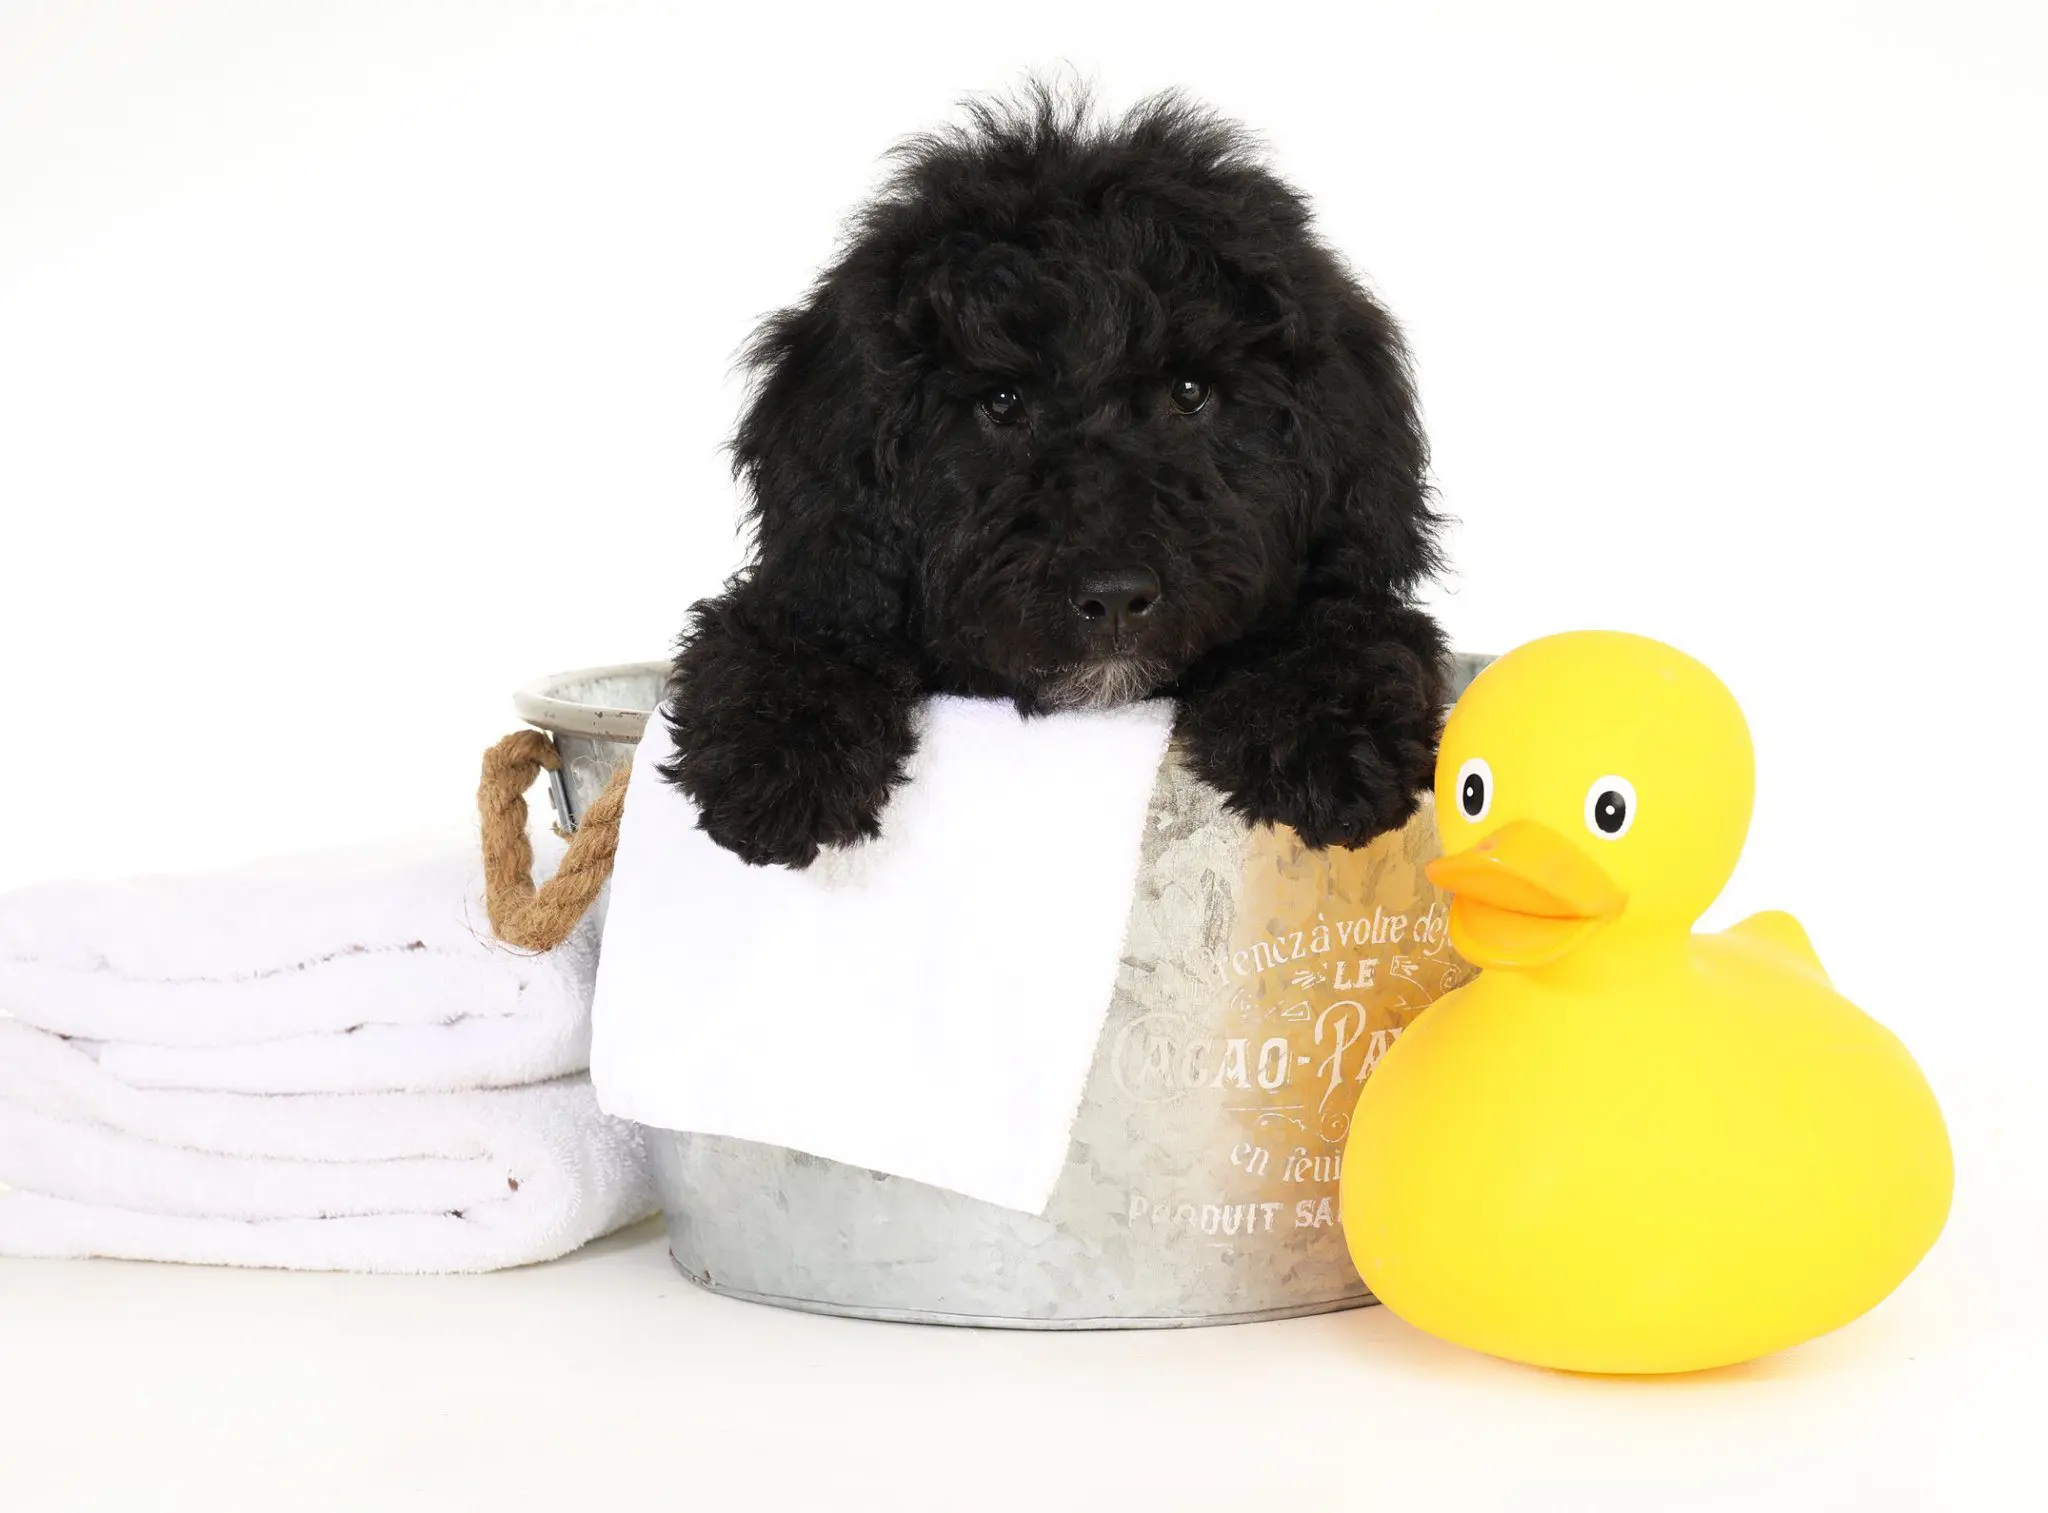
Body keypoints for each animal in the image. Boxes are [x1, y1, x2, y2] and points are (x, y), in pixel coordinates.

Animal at [663, 91, 1449, 863]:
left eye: (1190, 391)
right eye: (1003, 401)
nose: (1115, 596)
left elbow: (1344, 628)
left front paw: (1328, 734)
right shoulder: (827, 574)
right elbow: (792, 631)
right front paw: (782, 757)